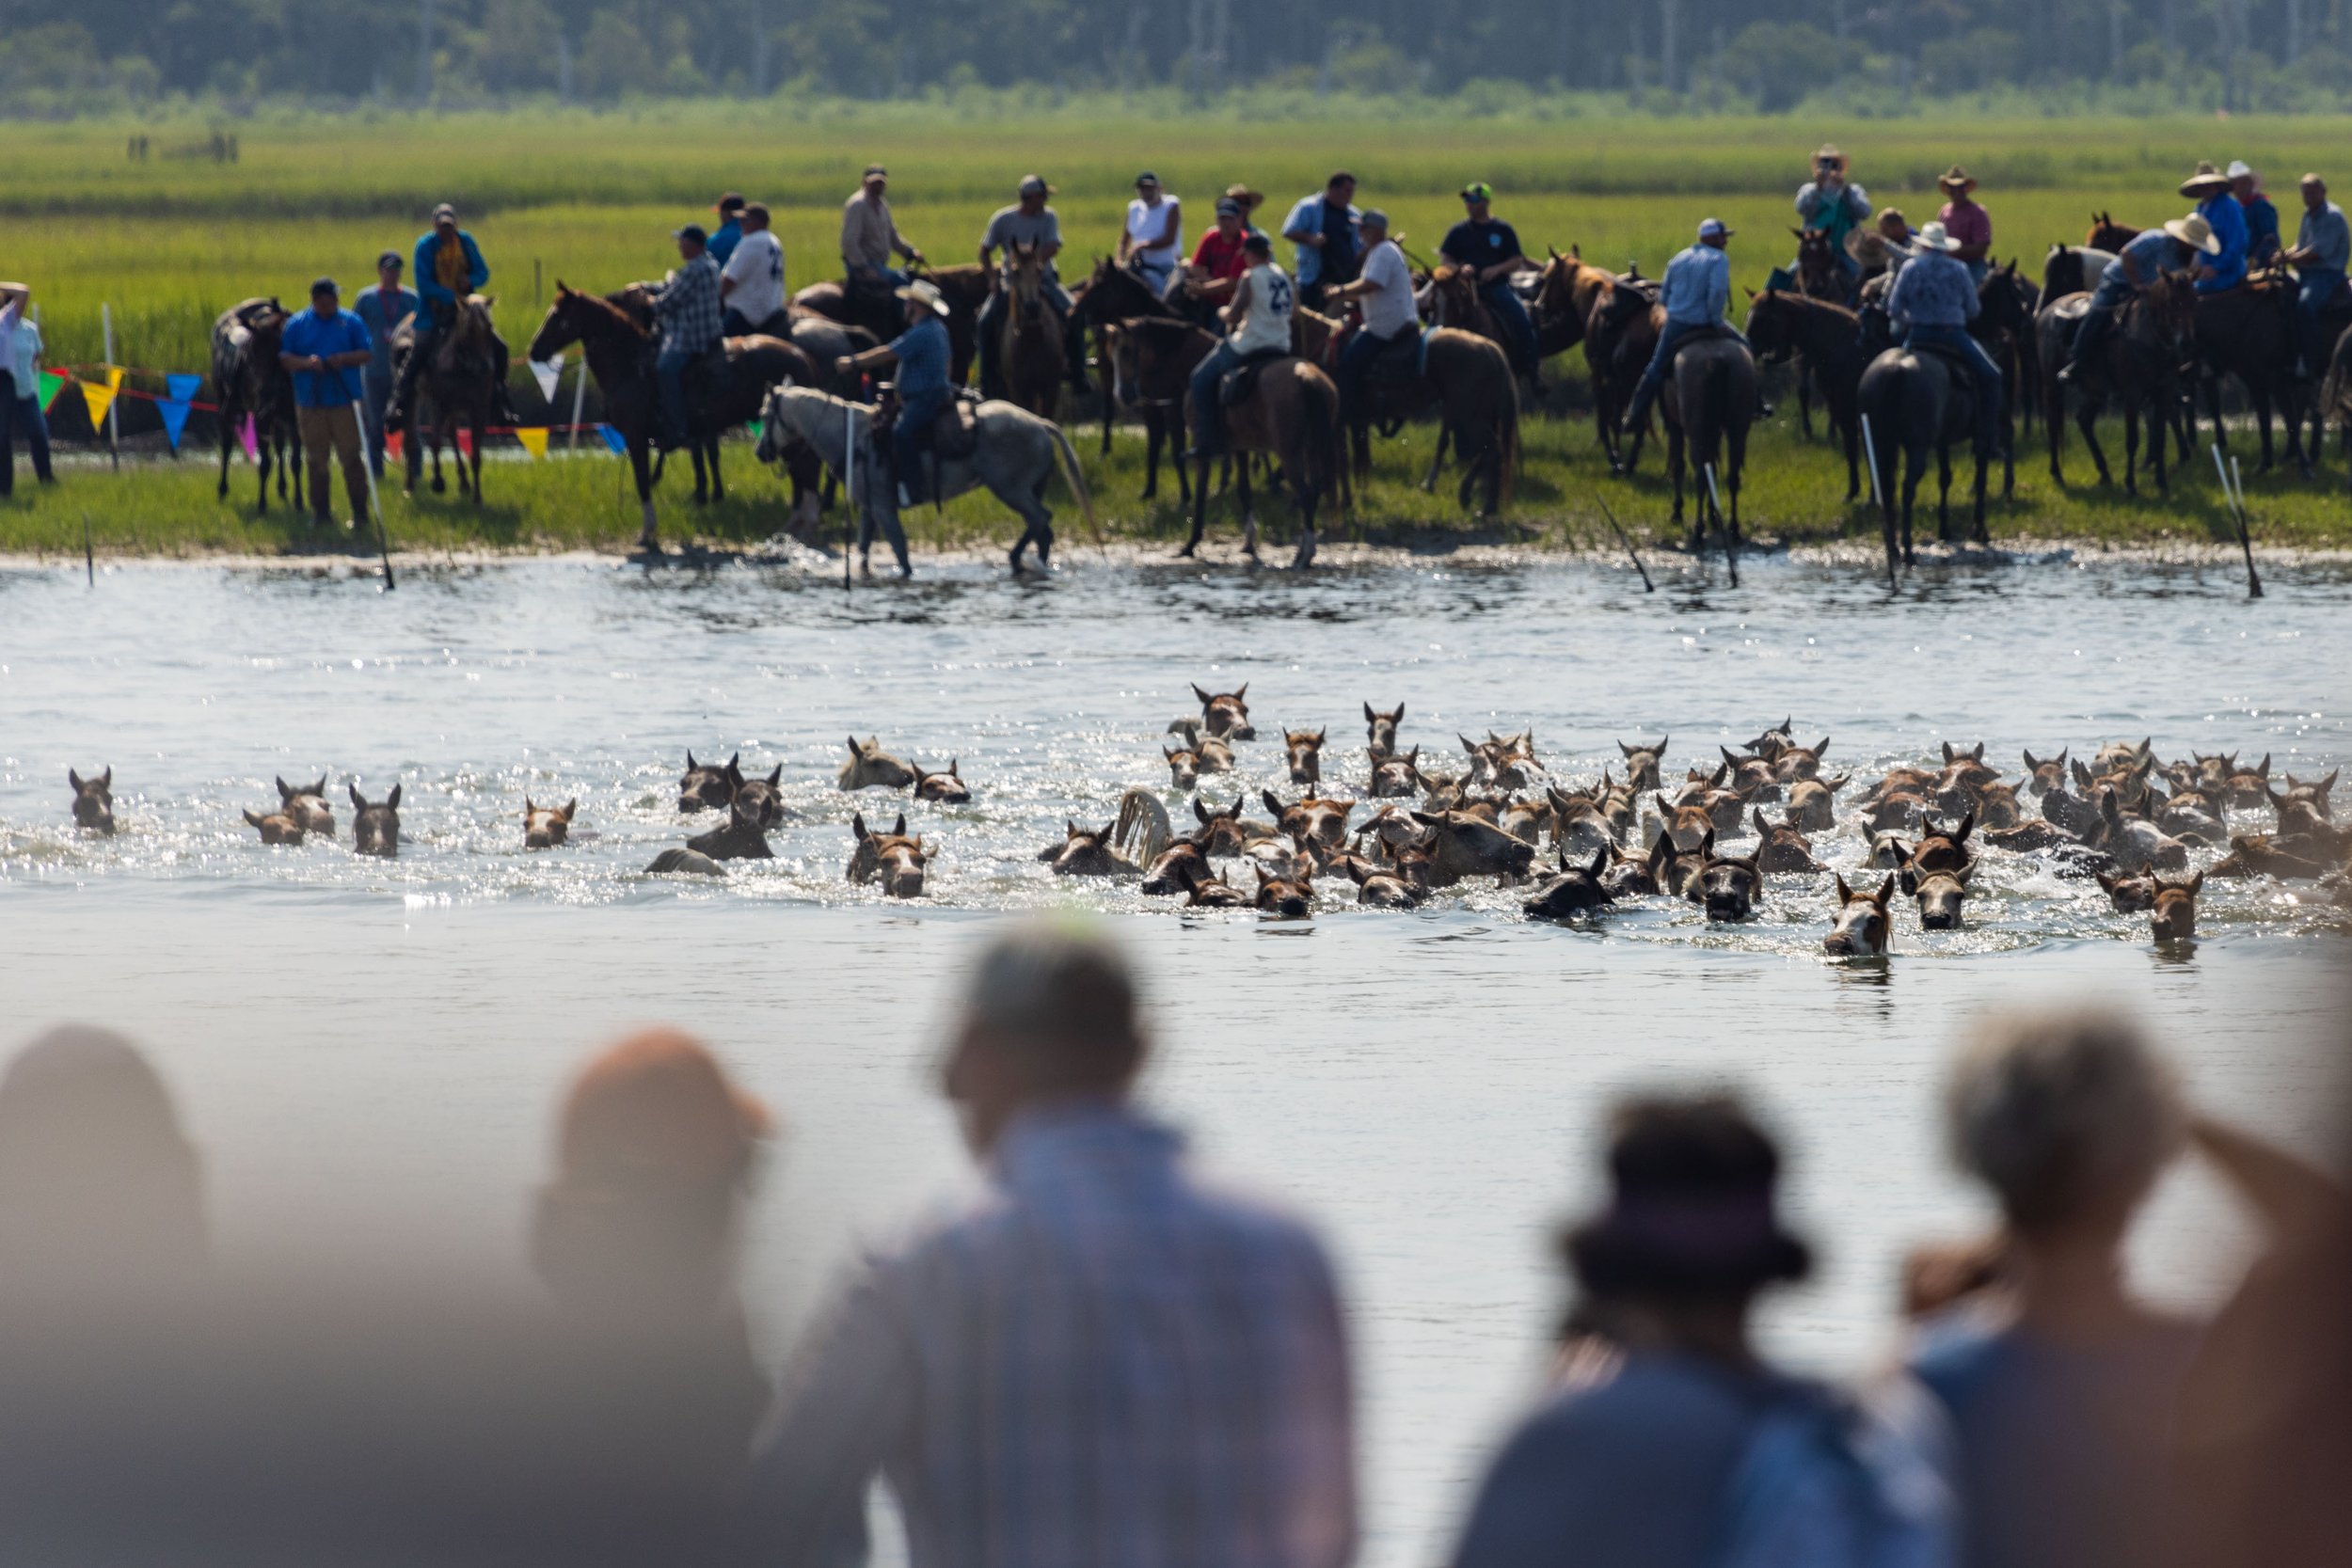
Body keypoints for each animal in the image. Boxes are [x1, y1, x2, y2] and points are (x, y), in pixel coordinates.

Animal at [208, 297, 303, 512]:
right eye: (250, 356)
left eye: (278, 350)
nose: (265, 392)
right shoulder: (262, 417)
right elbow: (265, 463)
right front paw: (262, 504)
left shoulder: (294, 418)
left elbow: (295, 461)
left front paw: (299, 502)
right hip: (225, 403)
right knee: (227, 445)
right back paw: (222, 489)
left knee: (279, 445)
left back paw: (282, 488)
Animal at [524, 283, 828, 552]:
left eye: (558, 316)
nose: (534, 350)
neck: (629, 364)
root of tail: (803, 356)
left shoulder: (635, 437)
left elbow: (642, 481)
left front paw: (647, 531)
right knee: (800, 470)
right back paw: (794, 525)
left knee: (807, 468)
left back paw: (807, 524)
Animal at [757, 383, 1096, 580]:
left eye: (764, 414)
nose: (760, 452)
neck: (854, 437)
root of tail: (1039, 422)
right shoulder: (869, 509)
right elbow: (864, 550)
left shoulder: (884, 508)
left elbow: (900, 550)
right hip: (1027, 490)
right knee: (1043, 530)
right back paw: (1032, 563)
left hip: (1011, 490)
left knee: (1040, 519)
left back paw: (1016, 559)